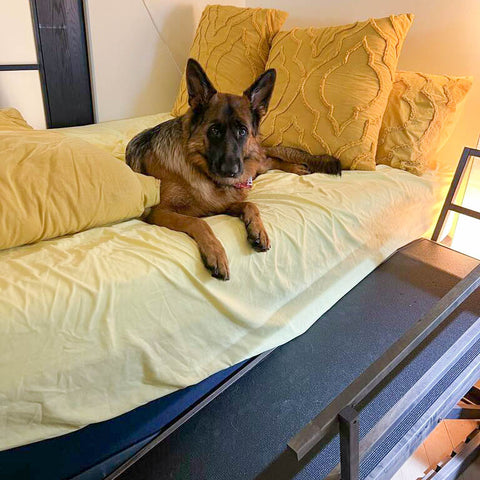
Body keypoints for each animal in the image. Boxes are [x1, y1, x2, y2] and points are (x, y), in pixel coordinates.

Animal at [125, 59, 340, 282]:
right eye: (214, 131)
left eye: (242, 131)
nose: (231, 171)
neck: (200, 170)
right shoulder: (161, 212)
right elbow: (198, 222)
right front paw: (216, 253)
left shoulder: (223, 202)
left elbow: (250, 204)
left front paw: (257, 229)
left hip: (251, 165)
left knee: (268, 159)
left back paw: (295, 167)